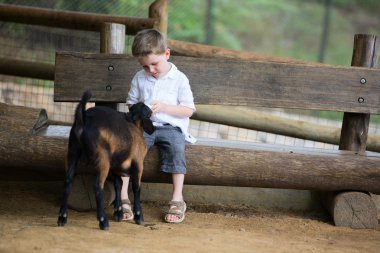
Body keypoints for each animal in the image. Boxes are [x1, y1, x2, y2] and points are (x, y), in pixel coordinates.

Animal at [57, 90, 154, 230]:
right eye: (148, 111)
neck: (134, 124)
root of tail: (83, 118)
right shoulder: (138, 163)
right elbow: (136, 188)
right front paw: (139, 216)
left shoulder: (116, 166)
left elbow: (118, 184)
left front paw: (118, 213)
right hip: (103, 160)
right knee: (98, 187)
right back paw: (103, 221)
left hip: (72, 152)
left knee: (68, 182)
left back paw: (62, 218)